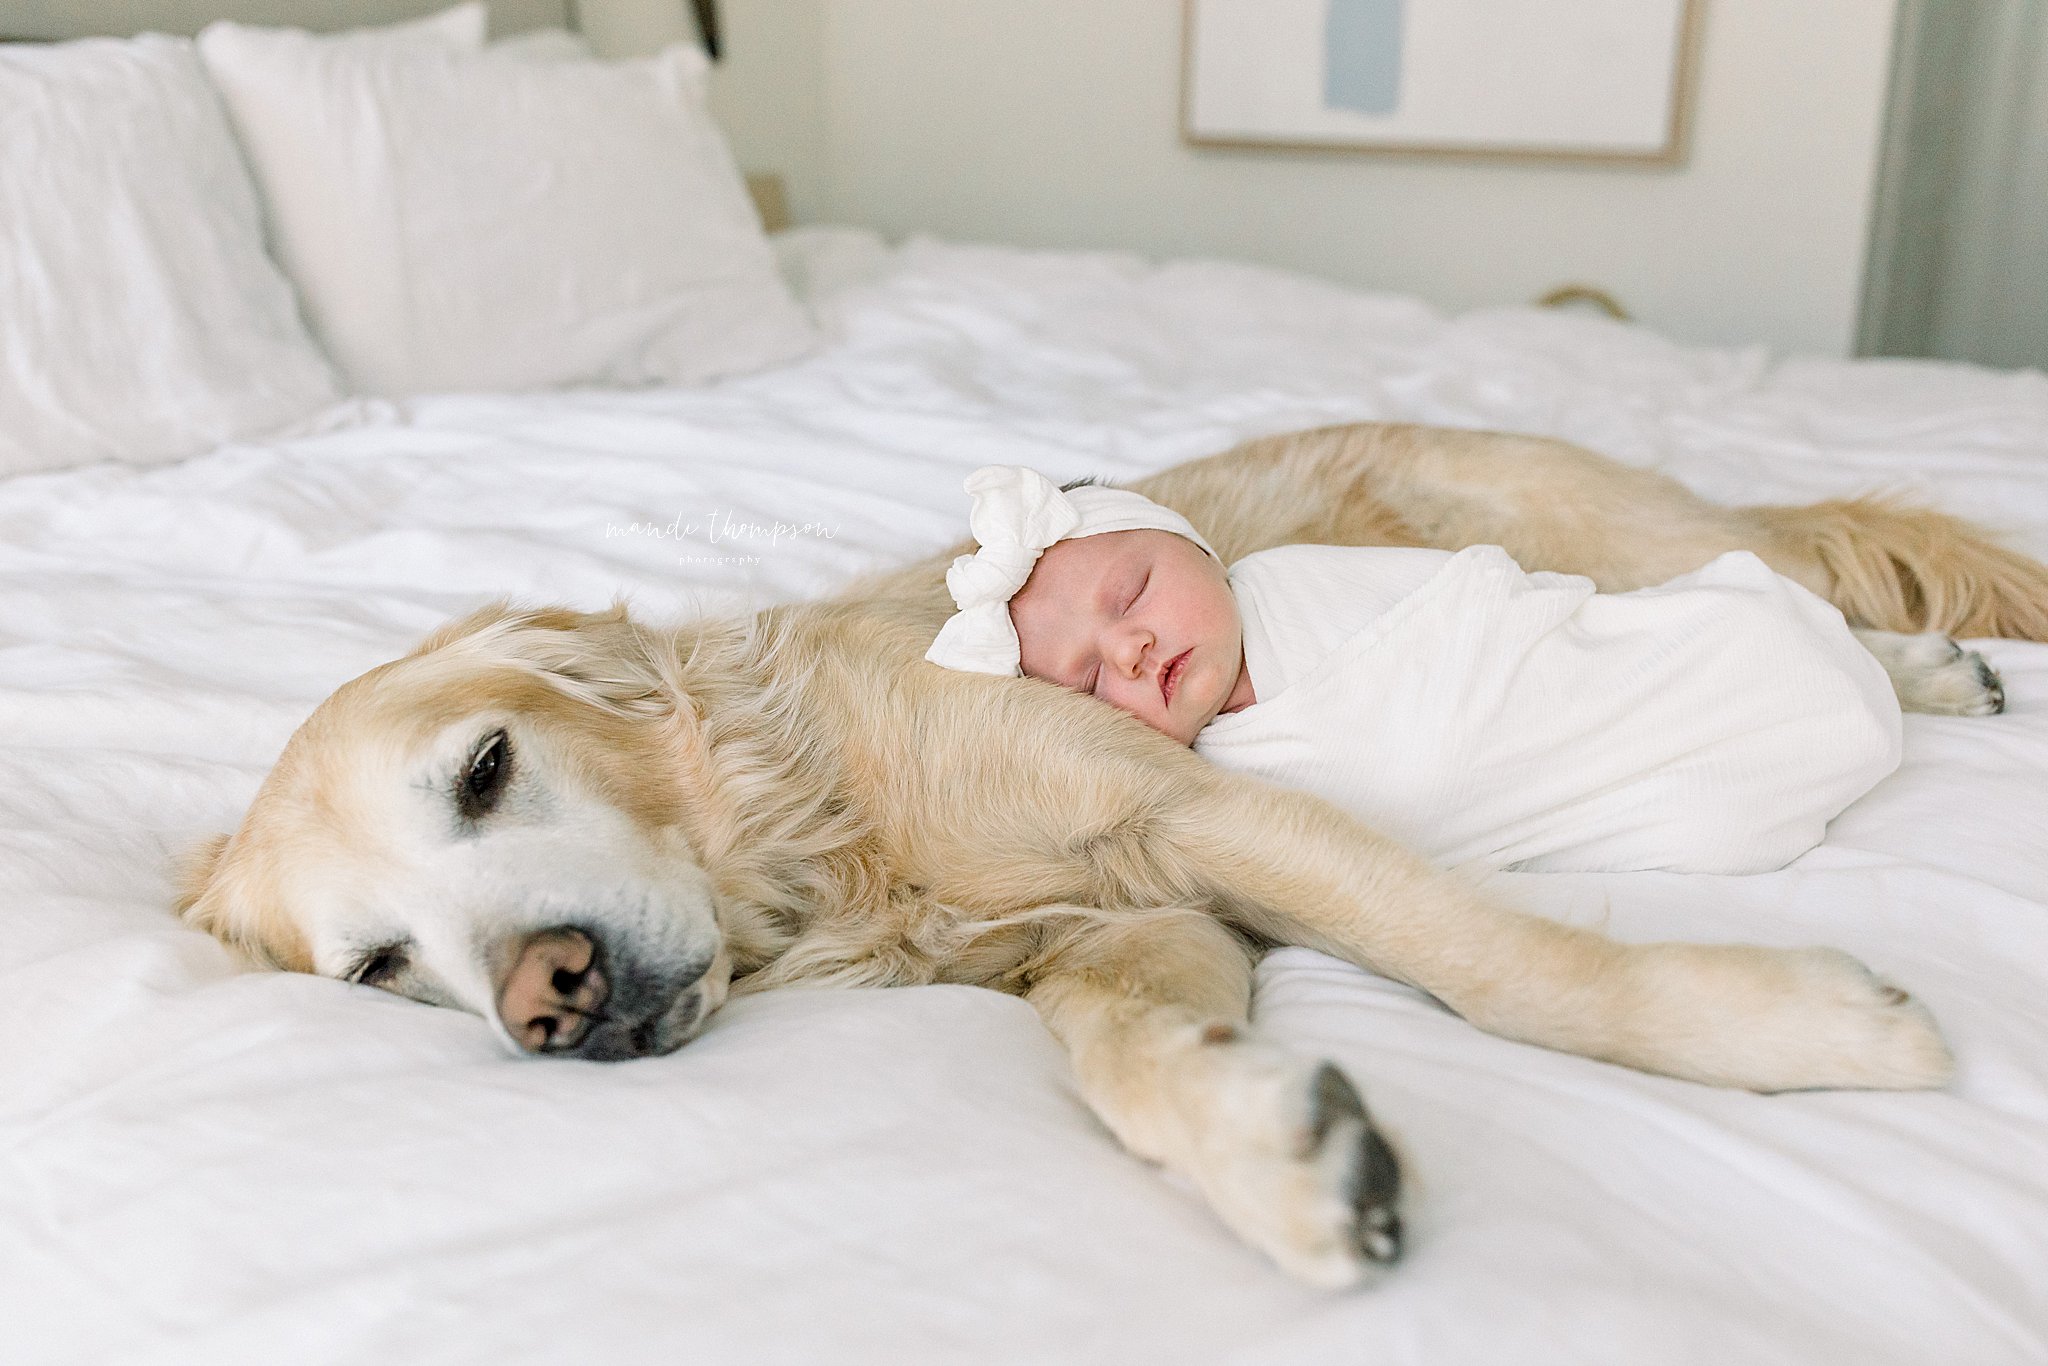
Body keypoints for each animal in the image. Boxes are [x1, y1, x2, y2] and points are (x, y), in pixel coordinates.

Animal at [180, 421, 2048, 1286]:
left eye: (487, 768)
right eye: (379, 967)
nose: (545, 998)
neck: (823, 826)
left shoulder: (1189, 807)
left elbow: (1503, 963)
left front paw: (1790, 1025)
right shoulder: (1129, 923)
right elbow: (1123, 1056)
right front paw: (1282, 1151)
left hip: (1610, 530)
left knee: (1795, 572)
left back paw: (1919, 664)